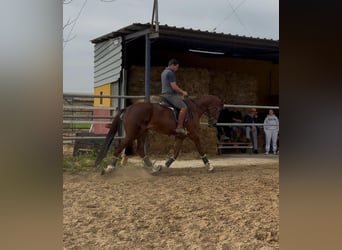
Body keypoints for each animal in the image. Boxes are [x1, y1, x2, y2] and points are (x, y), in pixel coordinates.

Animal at [95, 94, 224, 175]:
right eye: (218, 109)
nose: (213, 123)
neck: (194, 109)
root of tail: (128, 108)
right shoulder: (194, 134)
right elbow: (201, 149)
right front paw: (209, 166)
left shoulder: (181, 136)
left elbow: (175, 153)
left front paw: (165, 165)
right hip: (132, 134)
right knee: (119, 147)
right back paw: (109, 169)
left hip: (142, 133)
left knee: (140, 149)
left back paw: (153, 168)